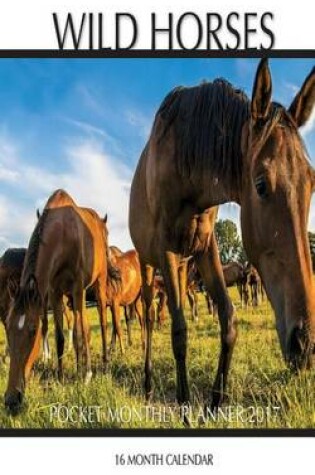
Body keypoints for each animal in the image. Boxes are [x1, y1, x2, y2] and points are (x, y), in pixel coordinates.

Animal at [4, 189, 110, 412]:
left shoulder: (78, 287)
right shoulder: (54, 292)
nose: (11, 399)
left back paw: (102, 364)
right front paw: (60, 377)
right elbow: (60, 337)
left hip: (99, 283)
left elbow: (80, 332)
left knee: (101, 323)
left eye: (32, 331)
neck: (63, 233)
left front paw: (85, 377)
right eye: (7, 328)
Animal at [129, 57, 315, 418]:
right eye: (261, 185)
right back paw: (146, 383)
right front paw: (184, 407)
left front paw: (215, 401)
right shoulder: (166, 250)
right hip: (147, 263)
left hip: (184, 263)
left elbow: (228, 319)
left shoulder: (205, 248)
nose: (306, 343)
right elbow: (179, 331)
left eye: (311, 183)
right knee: (147, 318)